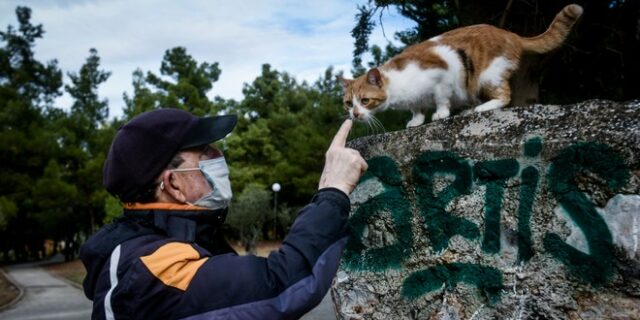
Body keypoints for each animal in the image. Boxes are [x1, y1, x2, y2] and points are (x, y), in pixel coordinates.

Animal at [342, 4, 584, 127]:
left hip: (487, 75)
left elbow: (441, 99)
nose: (355, 114)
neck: (397, 89)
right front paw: (416, 120)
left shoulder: (441, 74)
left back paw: (481, 108)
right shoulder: (415, 100)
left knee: (505, 96)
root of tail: (511, 34)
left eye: (365, 100)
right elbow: (417, 108)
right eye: (348, 103)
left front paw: (440, 114)